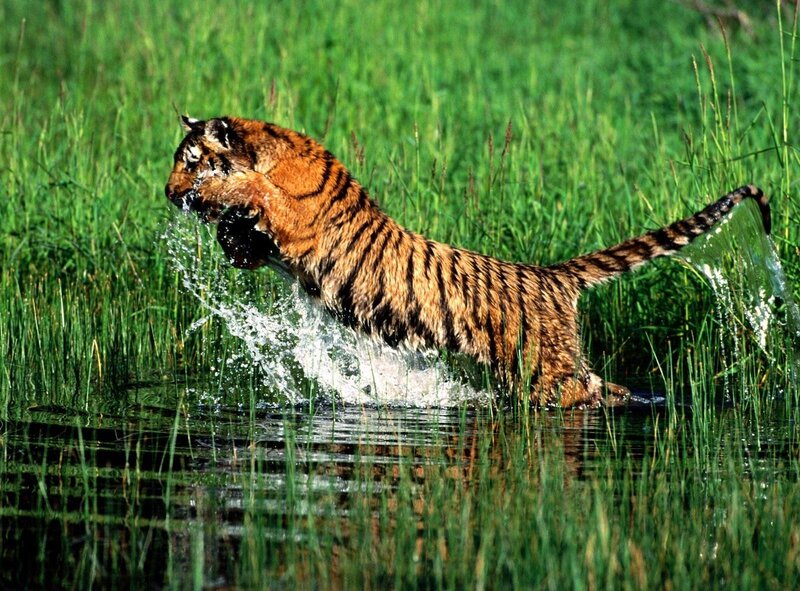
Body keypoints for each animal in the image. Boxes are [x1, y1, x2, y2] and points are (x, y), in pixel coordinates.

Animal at [164, 116, 770, 407]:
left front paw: (223, 197)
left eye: (189, 162)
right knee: (604, 384)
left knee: (588, 391)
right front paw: (230, 237)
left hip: (545, 372)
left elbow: (257, 193)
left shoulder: (300, 222)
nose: (169, 194)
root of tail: (553, 276)